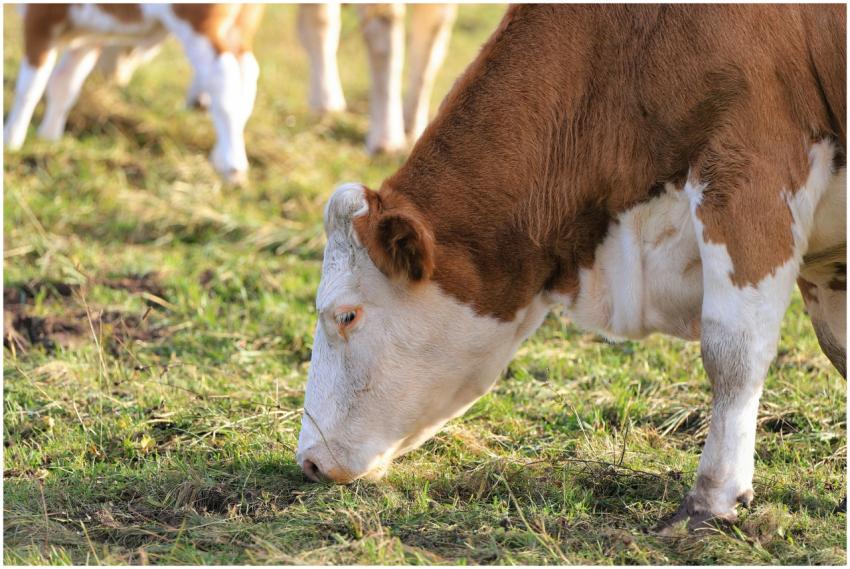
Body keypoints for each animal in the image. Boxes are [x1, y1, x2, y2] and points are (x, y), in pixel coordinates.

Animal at [4, 4, 263, 184]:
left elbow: (31, 85)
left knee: (222, 74)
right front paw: (48, 139)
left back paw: (232, 164)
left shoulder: (41, 18)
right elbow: (64, 84)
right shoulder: (91, 35)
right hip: (240, 22)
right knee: (247, 69)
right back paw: (223, 154)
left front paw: (11, 141)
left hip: (196, 19)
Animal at [297, 4, 846, 533]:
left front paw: (711, 499)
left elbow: (732, 353)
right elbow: (837, 348)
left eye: (346, 315)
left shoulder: (751, 176)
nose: (310, 461)